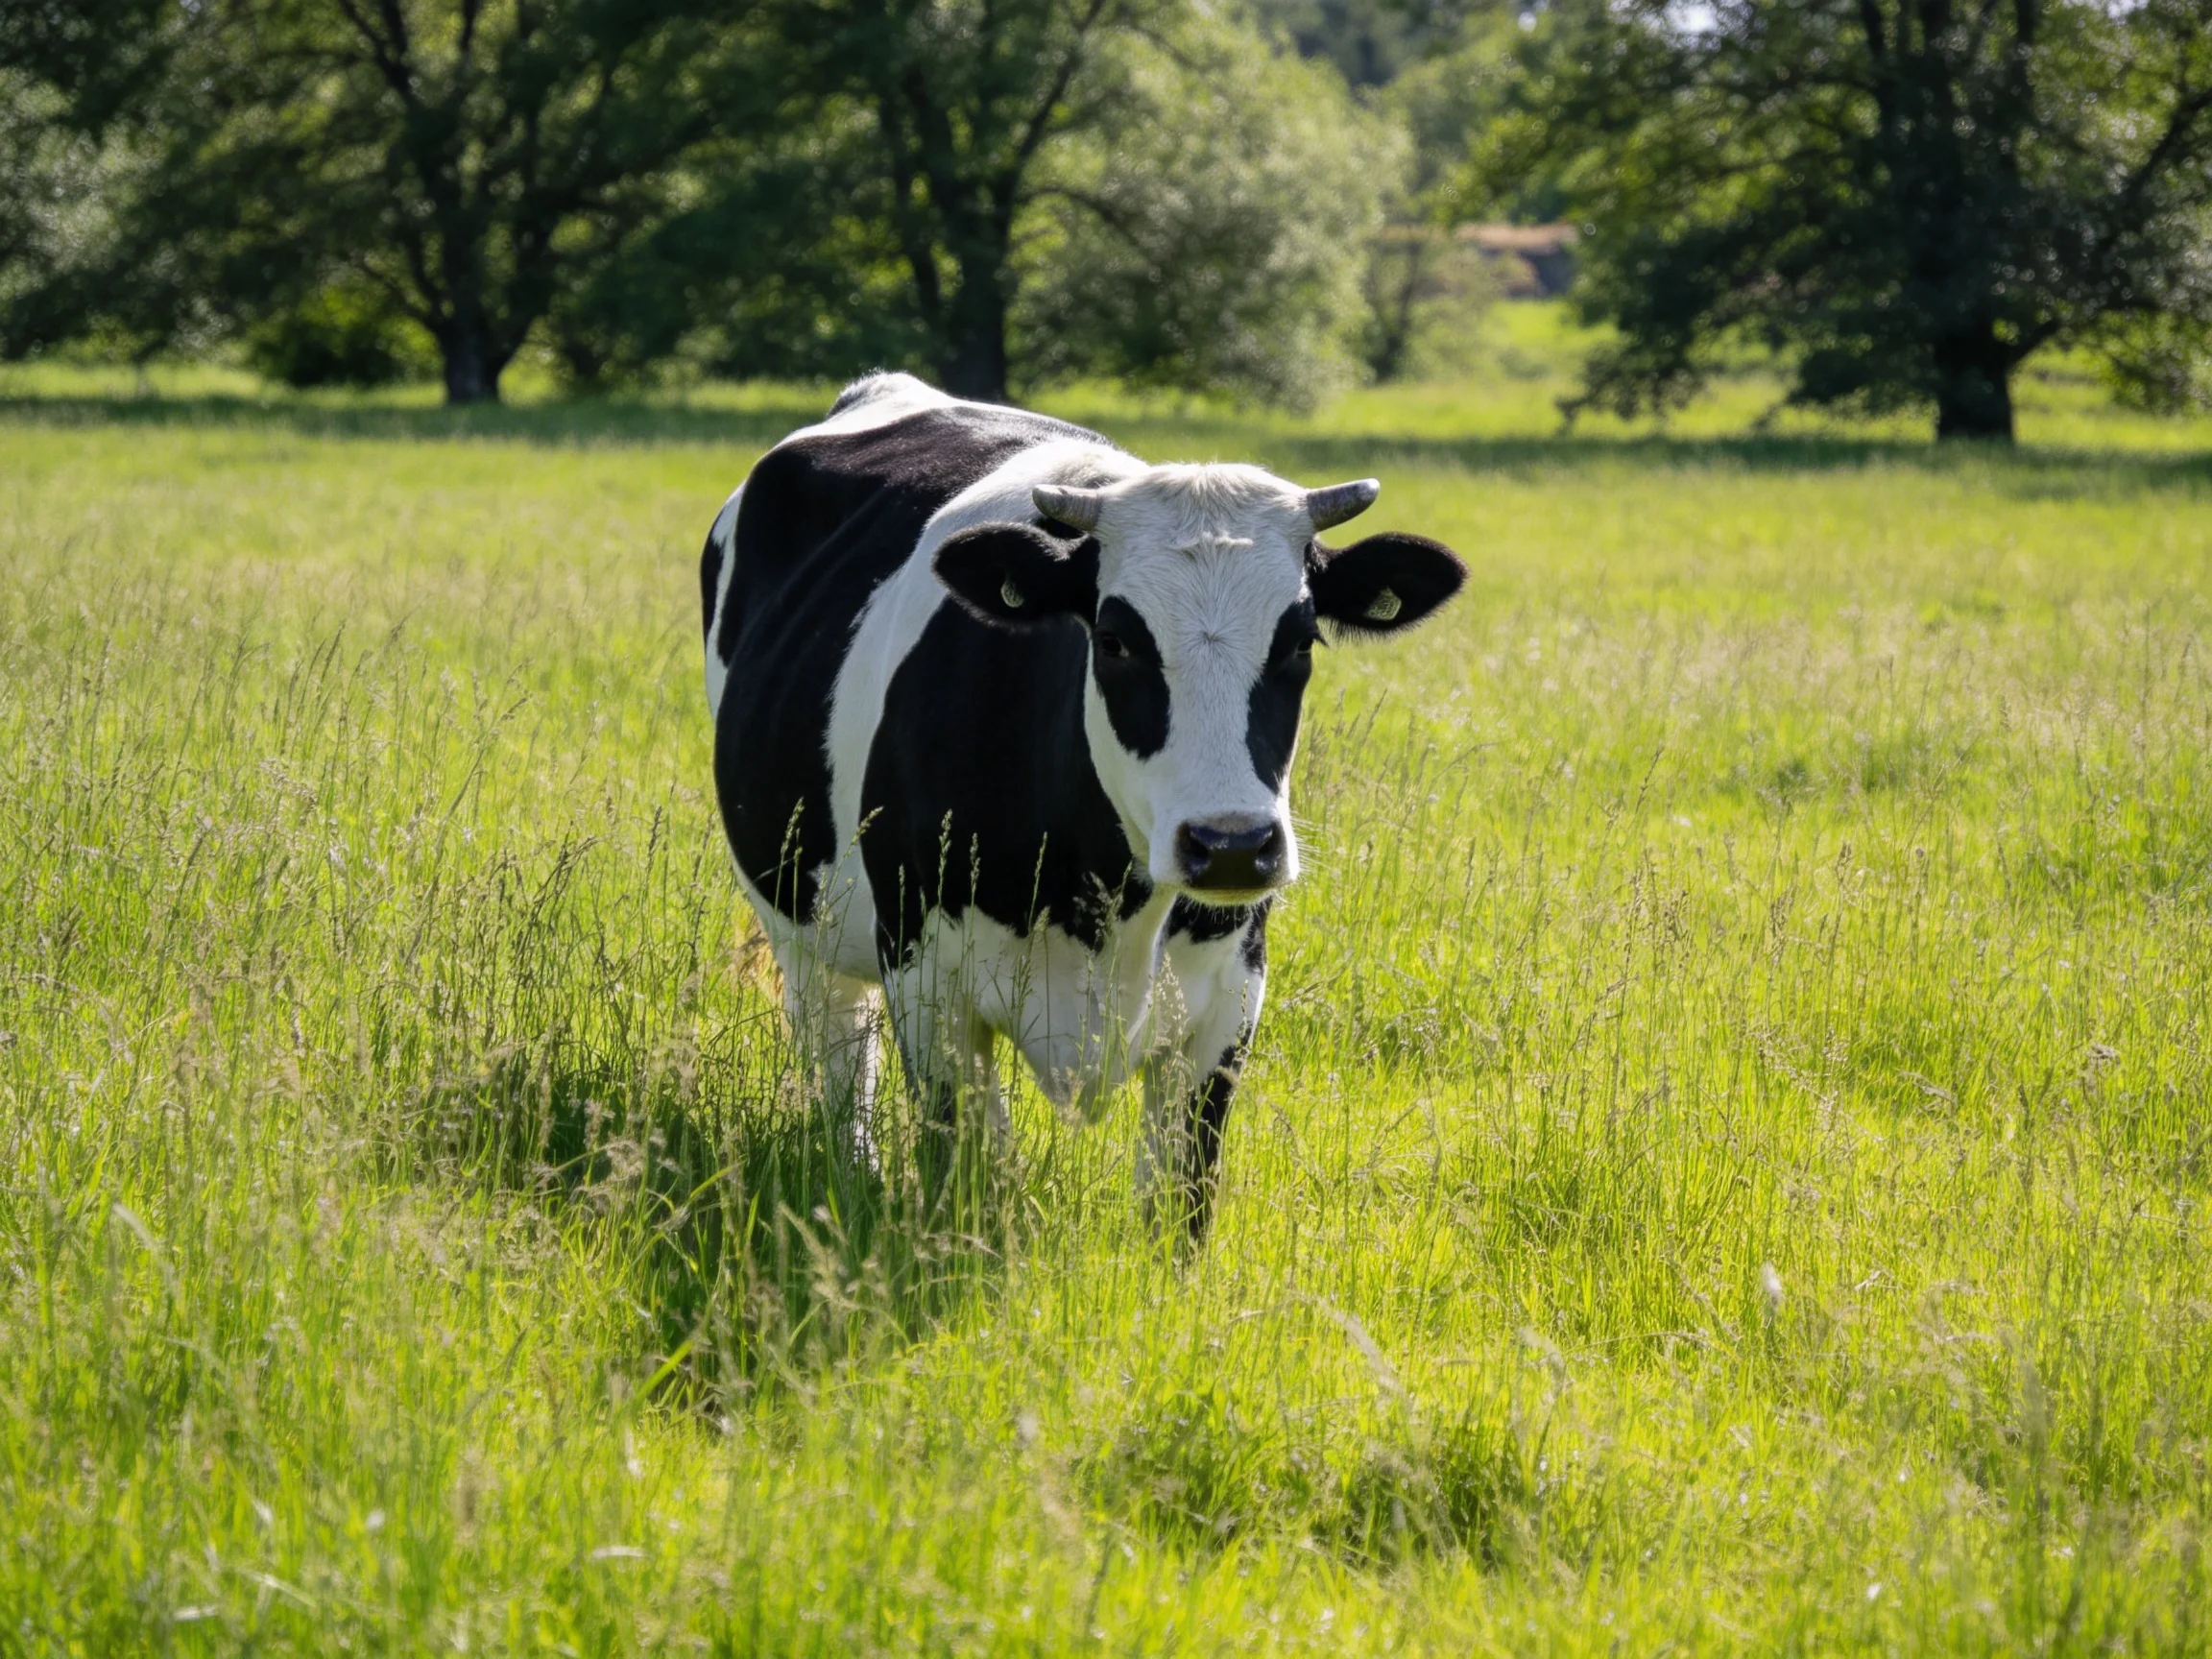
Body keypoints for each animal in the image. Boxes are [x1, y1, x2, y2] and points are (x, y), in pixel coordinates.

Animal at [701, 373, 1464, 1239]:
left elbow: (1180, 1209)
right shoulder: (927, 985)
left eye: (1301, 640)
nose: (1231, 846)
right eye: (1116, 638)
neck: (1107, 915)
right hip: (802, 926)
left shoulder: (1230, 998)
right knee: (842, 1069)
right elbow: (968, 1181)